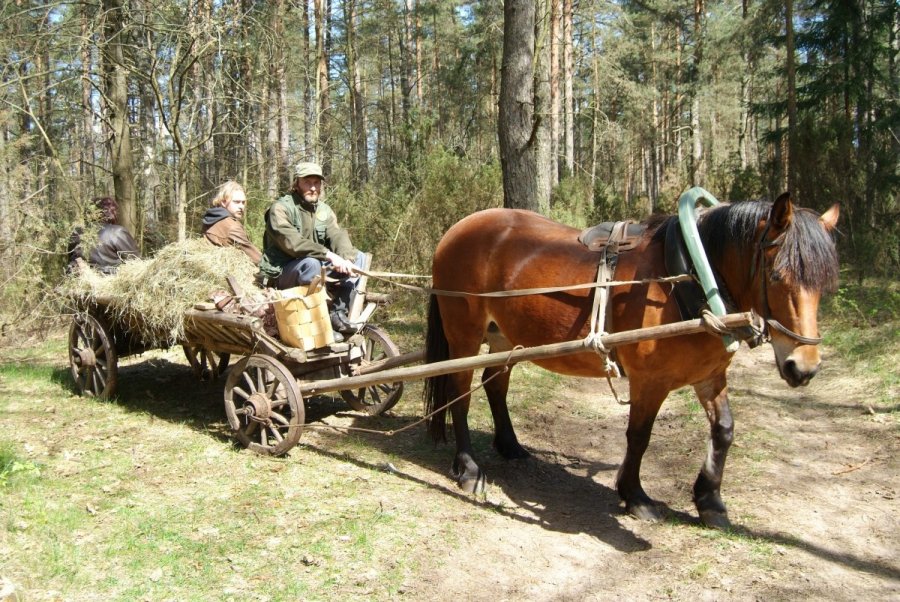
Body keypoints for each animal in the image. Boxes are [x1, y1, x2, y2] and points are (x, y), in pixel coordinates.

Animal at [426, 192, 840, 524]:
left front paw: (710, 501)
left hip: (502, 337)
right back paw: (468, 468)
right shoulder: (650, 380)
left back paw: (511, 446)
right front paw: (634, 495)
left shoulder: (709, 375)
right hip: (464, 334)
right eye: (778, 276)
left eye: (825, 284)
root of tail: (455, 230)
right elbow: (639, 436)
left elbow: (724, 430)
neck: (688, 276)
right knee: (458, 393)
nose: (804, 367)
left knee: (494, 386)